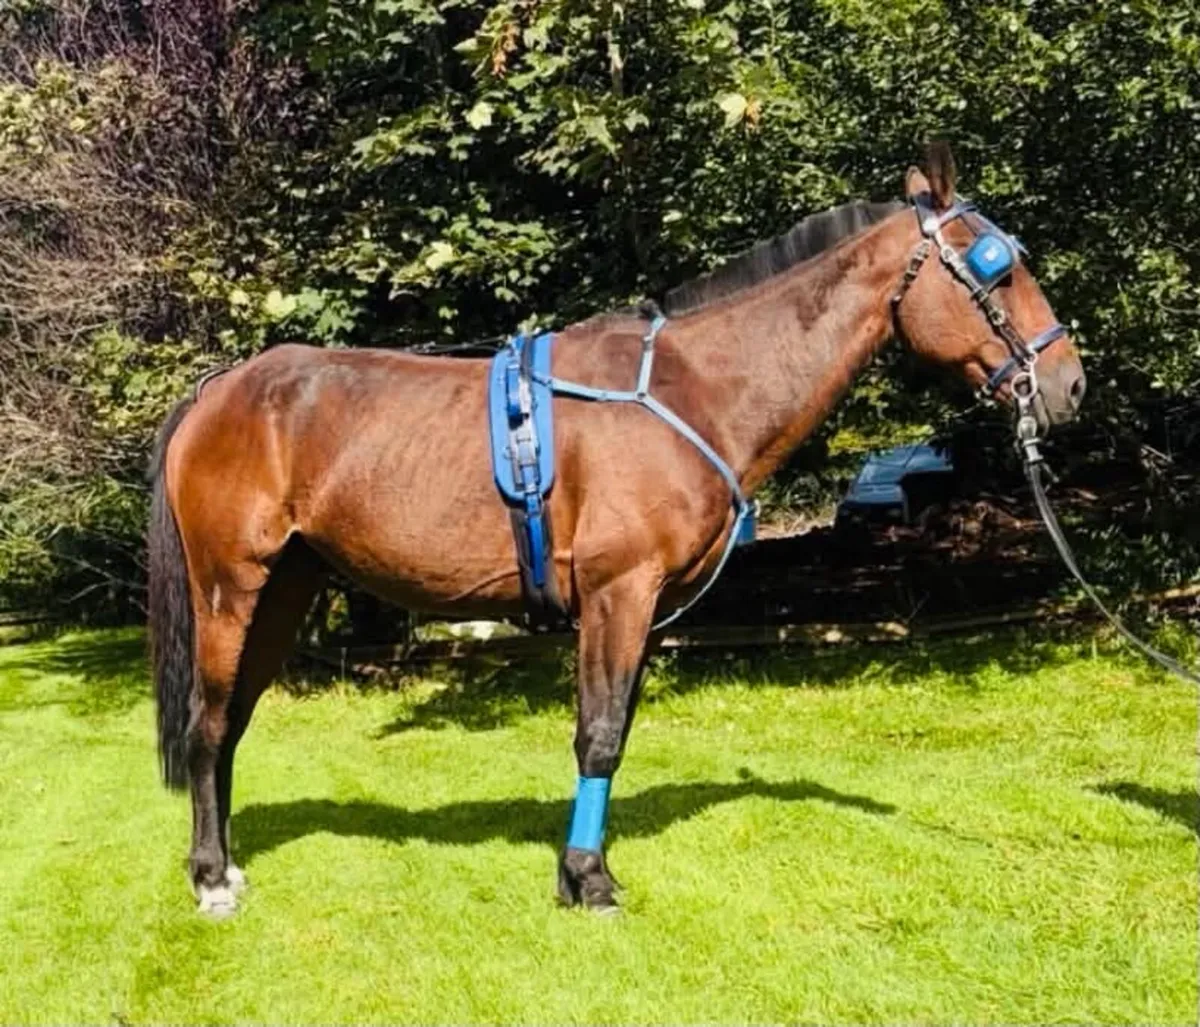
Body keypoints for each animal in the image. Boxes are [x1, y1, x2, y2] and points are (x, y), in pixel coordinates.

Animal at [148, 143, 1086, 917]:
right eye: (997, 269)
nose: (1069, 382)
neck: (687, 392)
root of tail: (218, 391)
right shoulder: (617, 592)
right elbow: (596, 734)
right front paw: (588, 879)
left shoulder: (645, 609)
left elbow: (616, 733)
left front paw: (580, 870)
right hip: (231, 590)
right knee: (206, 723)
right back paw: (209, 878)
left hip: (285, 589)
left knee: (231, 721)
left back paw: (224, 863)